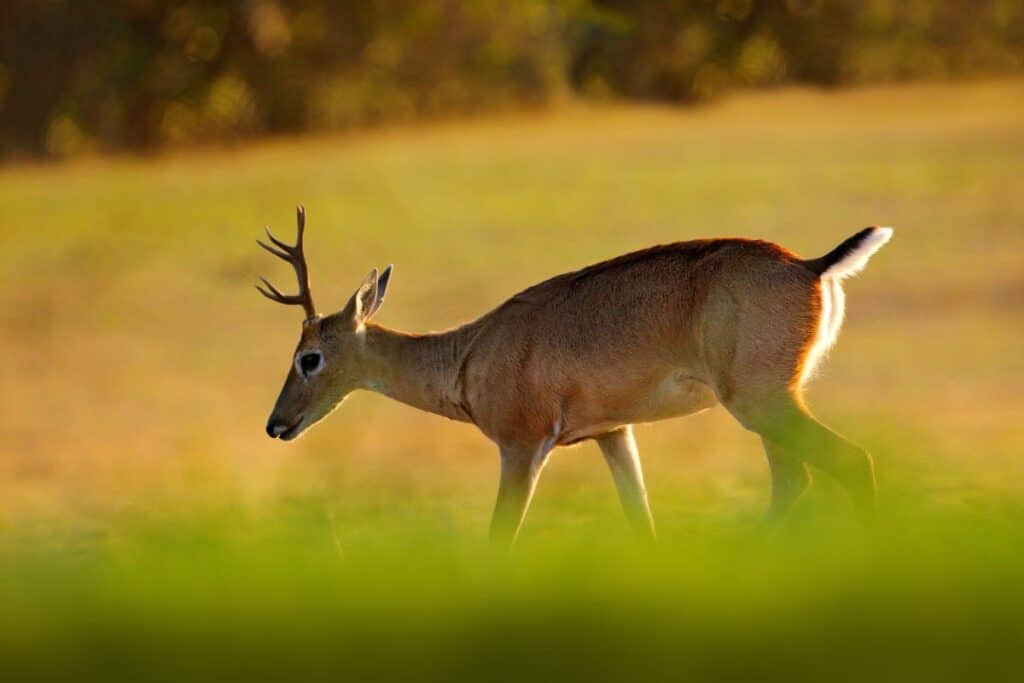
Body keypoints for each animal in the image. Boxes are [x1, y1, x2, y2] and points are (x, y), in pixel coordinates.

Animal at [260, 206, 892, 544]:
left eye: (308, 357)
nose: (275, 424)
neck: (469, 355)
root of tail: (810, 266)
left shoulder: (522, 445)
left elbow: (500, 537)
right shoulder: (612, 432)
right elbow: (641, 521)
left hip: (761, 401)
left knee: (851, 461)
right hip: (772, 405)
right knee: (795, 480)